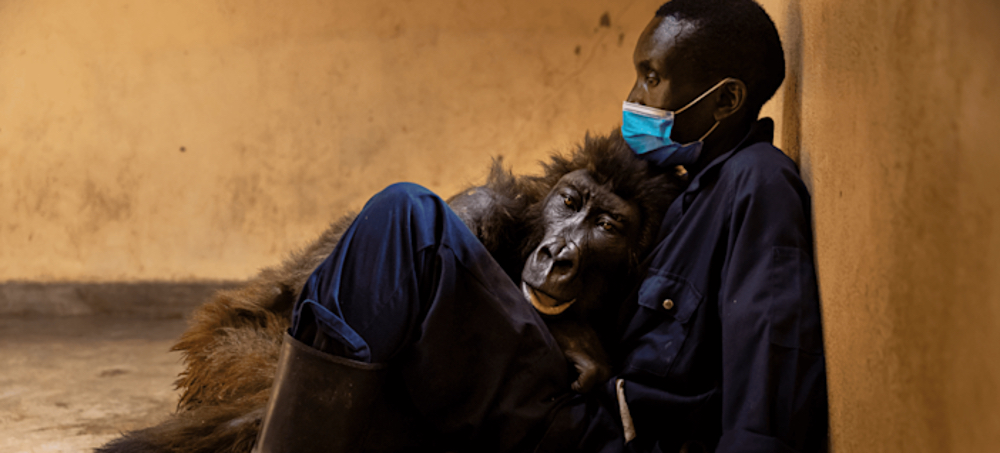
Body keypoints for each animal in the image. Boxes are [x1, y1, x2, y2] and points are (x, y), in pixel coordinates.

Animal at [97, 128, 684, 452]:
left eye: (606, 226)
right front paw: (574, 338)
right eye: (569, 202)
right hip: (225, 358)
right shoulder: (480, 208)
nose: (558, 254)